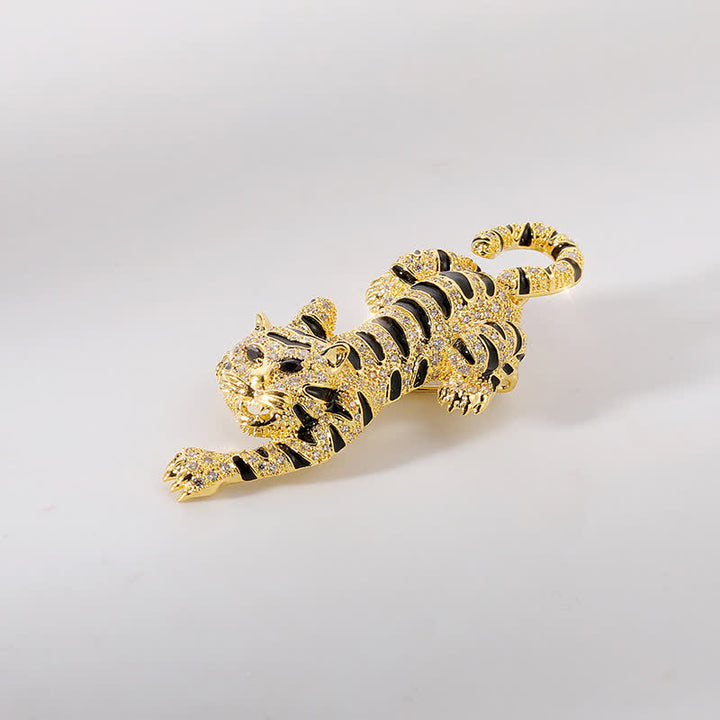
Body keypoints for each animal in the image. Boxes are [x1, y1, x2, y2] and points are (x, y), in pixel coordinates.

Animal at [164, 221, 583, 500]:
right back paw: (383, 289)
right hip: (444, 263)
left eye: (291, 369)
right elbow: (321, 304)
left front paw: (199, 468)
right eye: (254, 354)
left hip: (476, 340)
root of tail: (501, 281)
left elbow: (254, 460)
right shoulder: (316, 312)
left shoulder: (326, 436)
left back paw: (466, 392)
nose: (256, 383)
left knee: (509, 357)